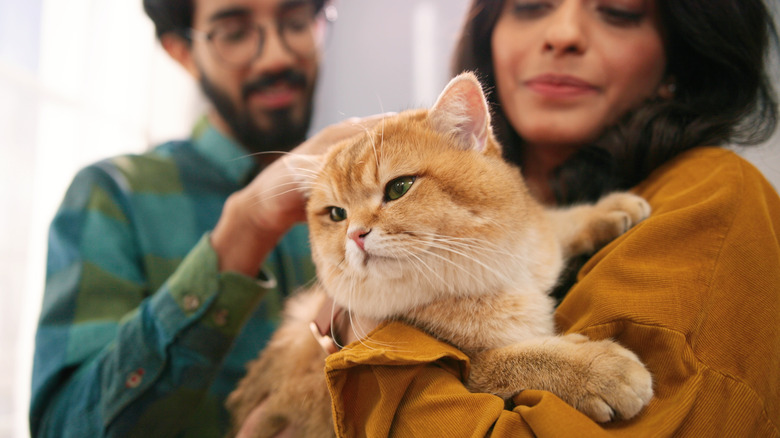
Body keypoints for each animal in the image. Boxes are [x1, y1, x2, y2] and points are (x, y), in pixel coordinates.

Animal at [225, 73, 652, 436]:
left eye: (399, 188)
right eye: (336, 214)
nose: (355, 234)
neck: (494, 273)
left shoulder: (538, 243)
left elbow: (556, 222)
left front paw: (607, 209)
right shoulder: (467, 368)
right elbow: (521, 359)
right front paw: (598, 371)